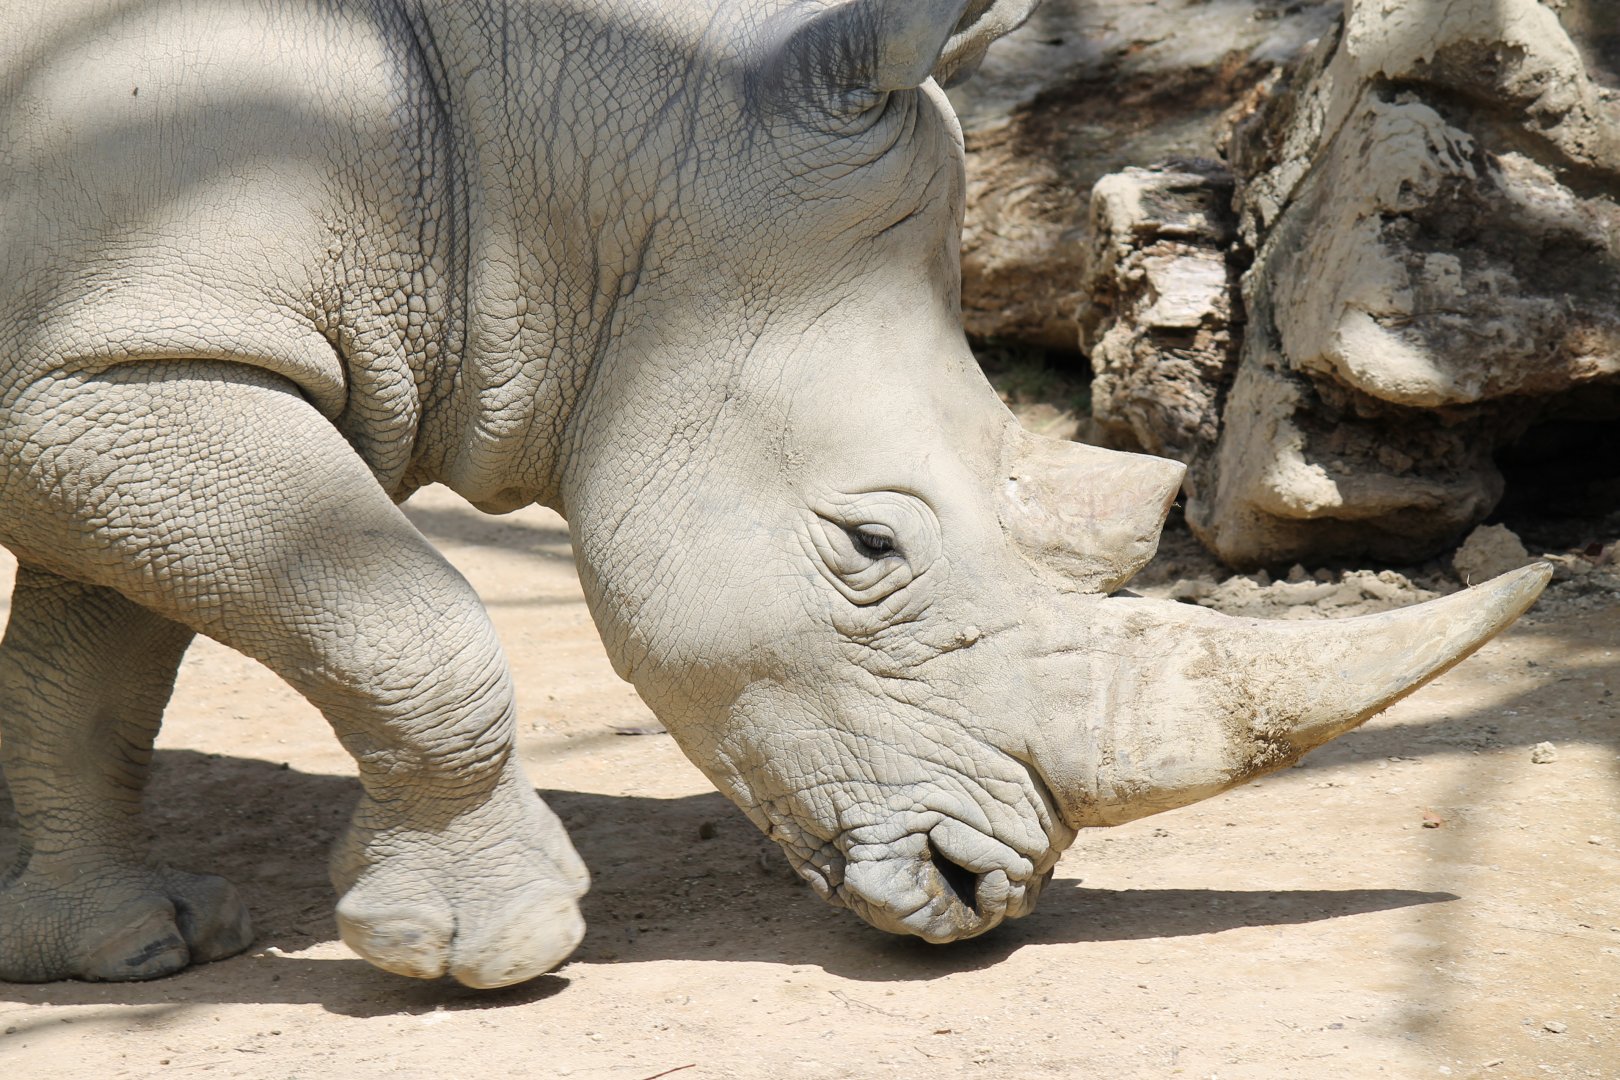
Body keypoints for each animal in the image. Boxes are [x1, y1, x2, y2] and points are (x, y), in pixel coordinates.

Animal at [0, 0, 1547, 989]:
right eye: (868, 543)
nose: (986, 896)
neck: (526, 169)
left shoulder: (117, 359)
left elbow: (96, 667)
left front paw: (129, 952)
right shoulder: (117, 368)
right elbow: (406, 623)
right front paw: (491, 956)